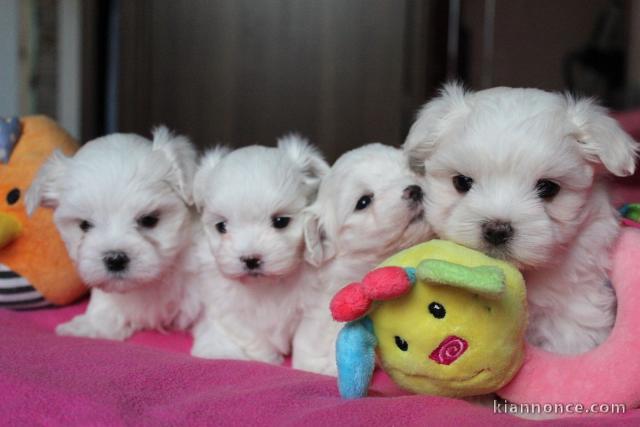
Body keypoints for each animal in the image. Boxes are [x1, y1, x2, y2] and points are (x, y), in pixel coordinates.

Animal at [190, 134, 330, 364]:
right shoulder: (229, 310)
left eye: (281, 221)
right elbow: (253, 338)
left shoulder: (316, 302)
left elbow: (309, 337)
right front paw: (269, 361)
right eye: (221, 227)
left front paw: (309, 365)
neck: (269, 284)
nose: (250, 259)